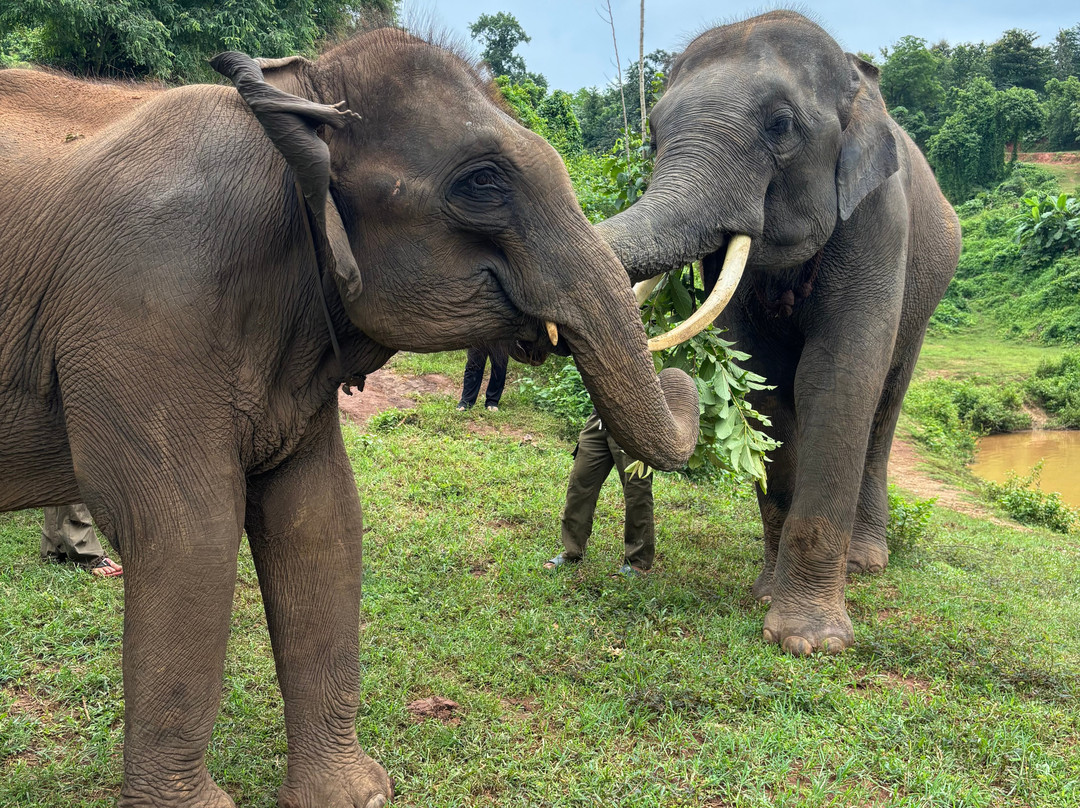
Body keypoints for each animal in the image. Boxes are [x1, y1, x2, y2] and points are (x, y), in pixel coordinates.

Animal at [0, 28, 699, 807]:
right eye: (482, 183)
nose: (682, 373)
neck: (294, 97)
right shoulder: (147, 305)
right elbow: (186, 533)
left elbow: (321, 517)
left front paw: (356, 796)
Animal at [597, 11, 961, 655]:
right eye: (653, 137)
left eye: (782, 125)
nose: (672, 380)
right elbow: (761, 383)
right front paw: (767, 597)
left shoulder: (878, 221)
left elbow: (835, 379)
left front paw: (810, 642)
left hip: (928, 290)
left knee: (885, 406)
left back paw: (866, 562)